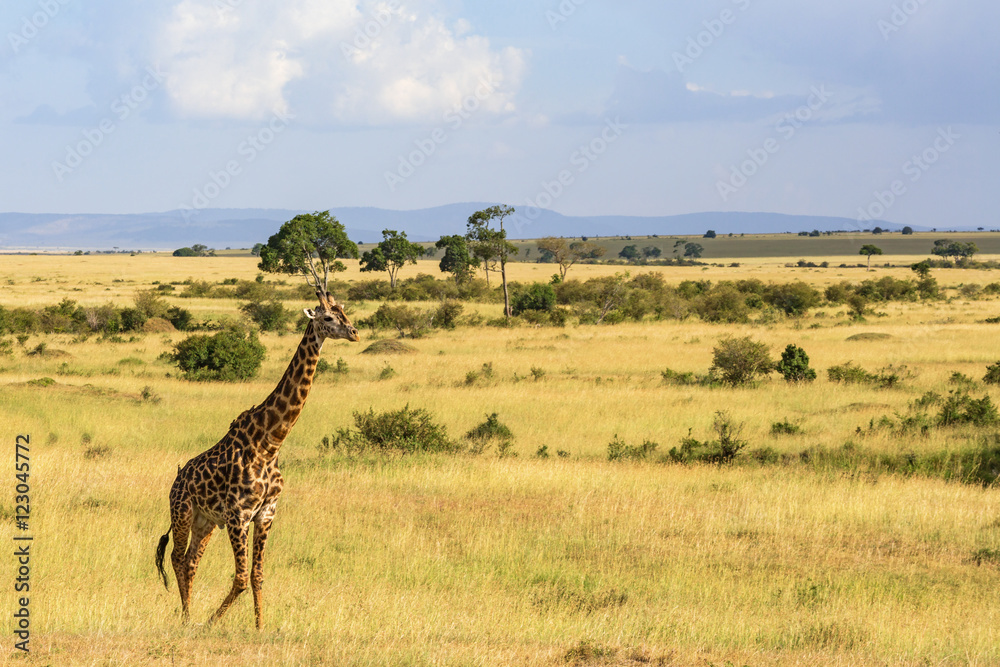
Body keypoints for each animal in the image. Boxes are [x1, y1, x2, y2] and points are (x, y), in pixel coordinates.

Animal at [154, 288, 359, 629]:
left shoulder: (266, 513)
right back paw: (187, 617)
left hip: (205, 522)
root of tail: (176, 479)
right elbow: (239, 577)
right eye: (329, 317)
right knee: (176, 558)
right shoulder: (238, 515)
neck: (270, 442)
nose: (355, 333)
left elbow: (257, 575)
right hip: (182, 513)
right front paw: (211, 622)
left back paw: (188, 613)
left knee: (190, 561)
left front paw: (260, 626)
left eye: (345, 313)